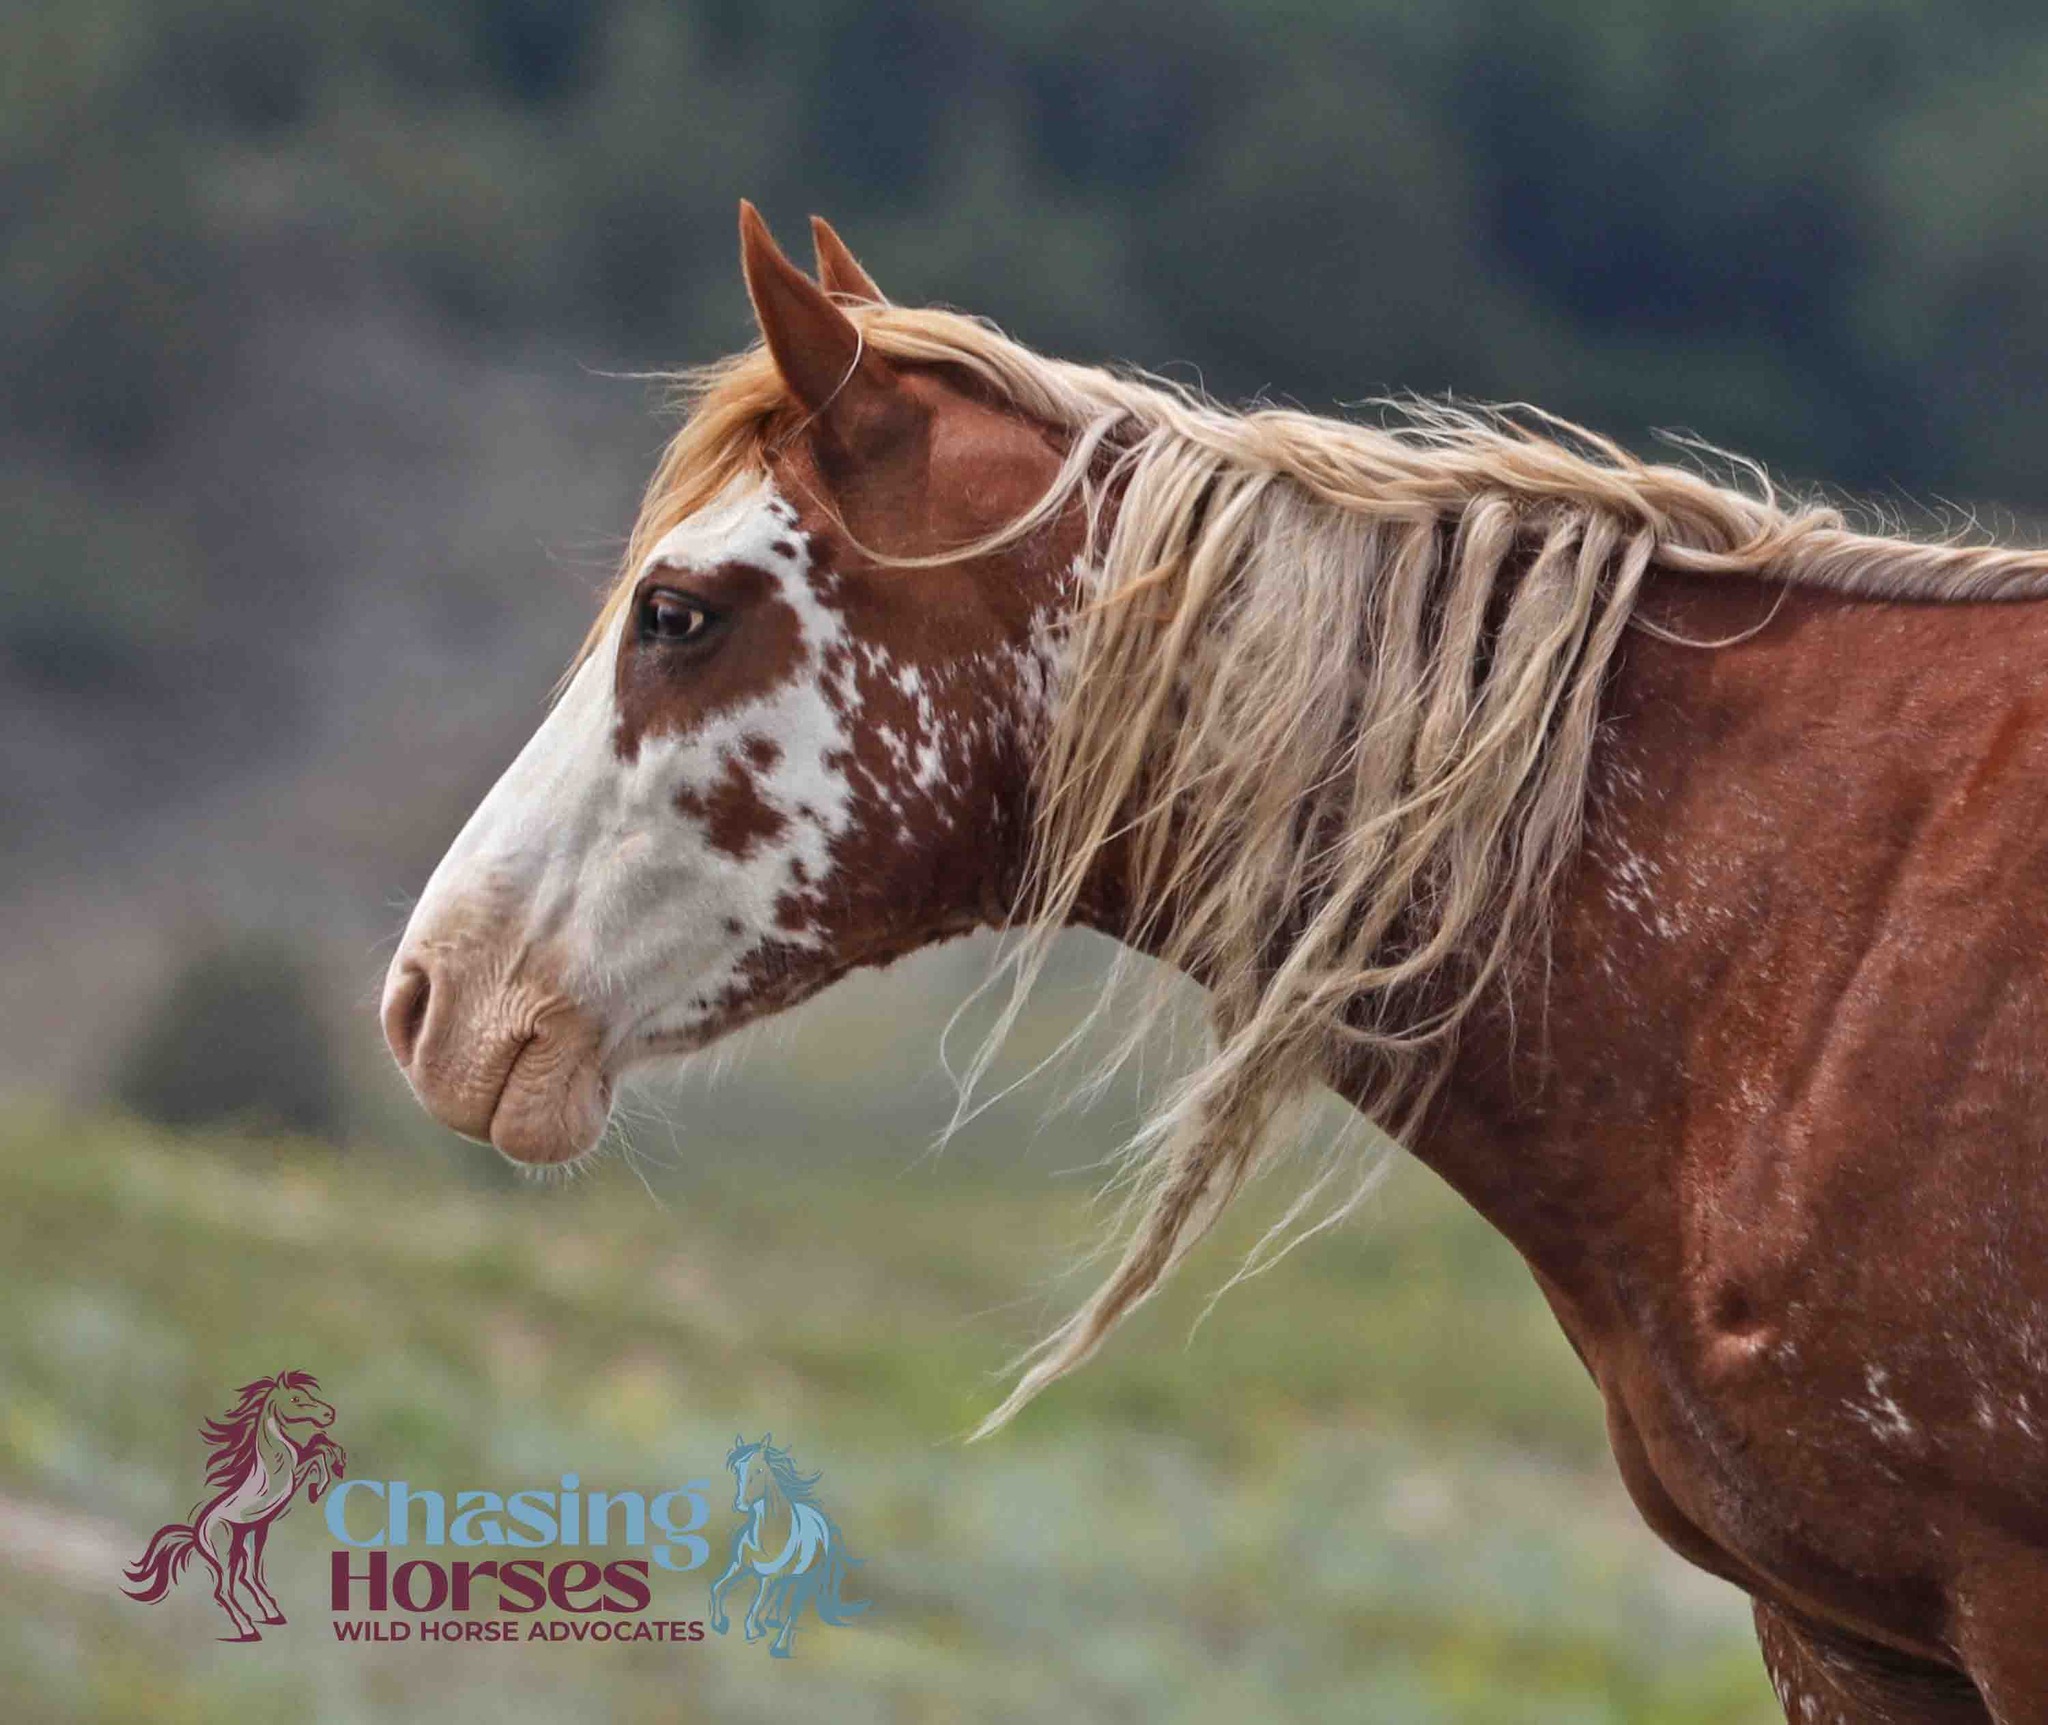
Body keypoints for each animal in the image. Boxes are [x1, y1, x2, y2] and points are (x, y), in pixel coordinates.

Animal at [123, 1370, 344, 1640]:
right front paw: (318, 1489)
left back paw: (272, 1614)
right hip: (228, 1552)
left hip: (247, 1540)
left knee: (246, 1577)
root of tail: (196, 1534)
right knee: (225, 1589)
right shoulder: (291, 1479)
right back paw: (249, 1629)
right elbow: (316, 1455)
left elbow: (320, 1444)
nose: (329, 1414)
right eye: (295, 1398)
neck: (276, 1456)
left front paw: (337, 1466)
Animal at [707, 1434, 867, 1656]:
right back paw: (771, 1621)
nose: (741, 1504)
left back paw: (780, 1645)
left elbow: (757, 1605)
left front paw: (752, 1630)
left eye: (760, 1470)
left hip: (805, 1579)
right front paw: (720, 1623)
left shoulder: (769, 1577)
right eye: (737, 1468)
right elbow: (718, 1588)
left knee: (794, 1607)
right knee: (781, 1594)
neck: (766, 1535)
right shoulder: (740, 1565)